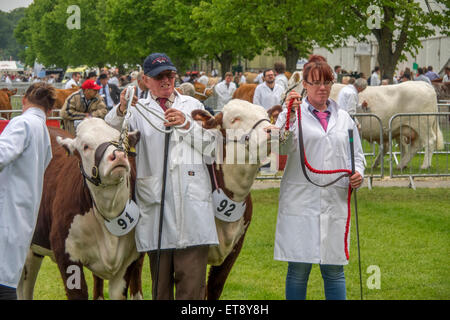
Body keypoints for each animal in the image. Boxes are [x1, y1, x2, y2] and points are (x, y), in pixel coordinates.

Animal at [17, 117, 142, 300]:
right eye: (85, 146)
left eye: (121, 140)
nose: (118, 155)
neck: (109, 210)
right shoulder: (66, 255)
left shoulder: (128, 261)